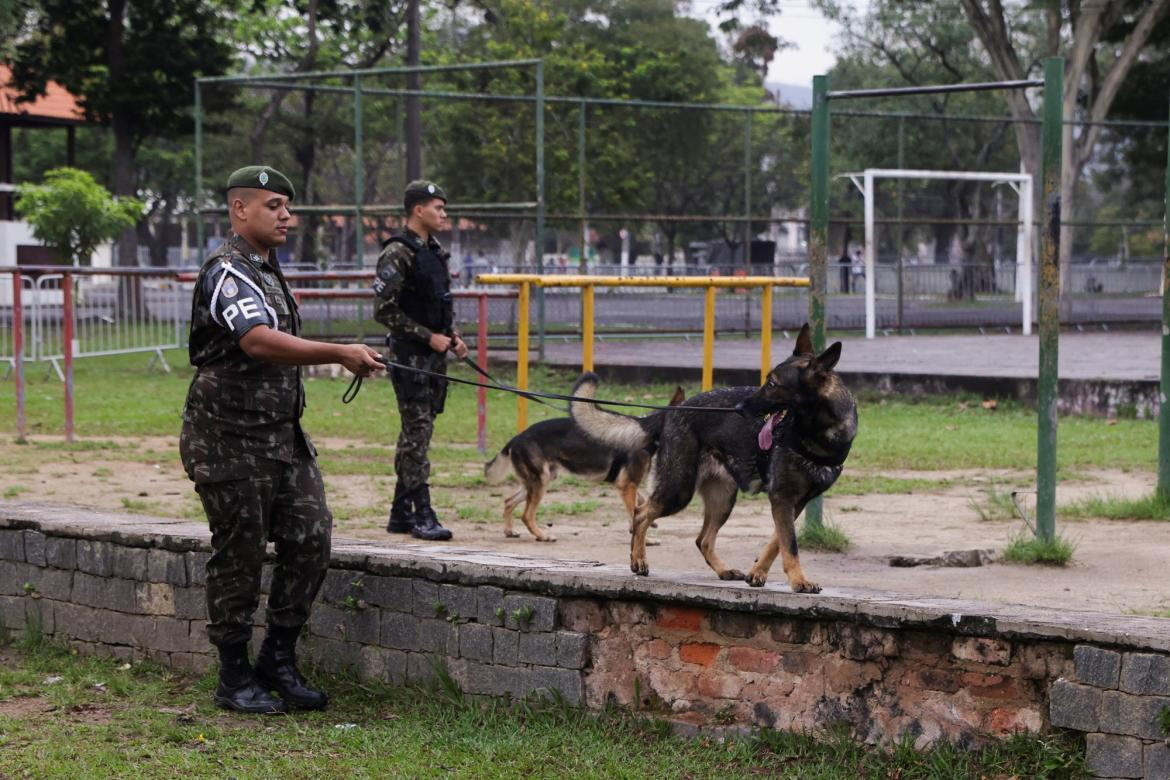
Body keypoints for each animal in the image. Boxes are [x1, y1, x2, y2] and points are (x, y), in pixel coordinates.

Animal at [484, 385, 683, 542]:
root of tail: (516, 438)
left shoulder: (625, 484)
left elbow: (638, 502)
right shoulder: (627, 484)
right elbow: (634, 510)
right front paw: (646, 539)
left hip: (537, 481)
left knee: (508, 501)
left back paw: (510, 531)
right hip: (540, 481)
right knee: (526, 515)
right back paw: (542, 535)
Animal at [570, 325, 856, 591]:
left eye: (773, 384)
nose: (740, 408)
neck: (820, 435)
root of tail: (672, 410)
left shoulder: (795, 503)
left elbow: (777, 542)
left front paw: (758, 573)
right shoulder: (782, 499)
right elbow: (790, 545)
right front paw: (799, 581)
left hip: (722, 498)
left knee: (703, 539)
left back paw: (723, 570)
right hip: (678, 491)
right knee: (641, 513)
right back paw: (638, 559)